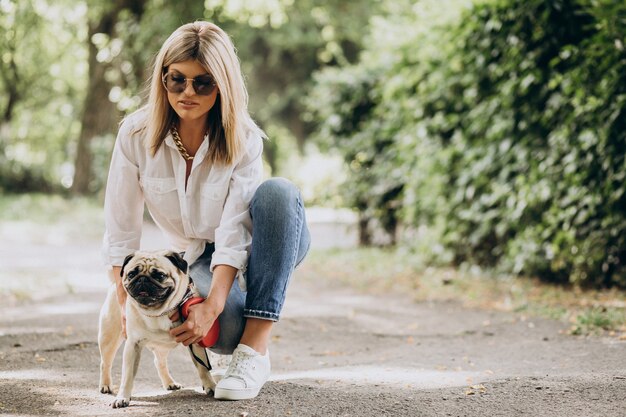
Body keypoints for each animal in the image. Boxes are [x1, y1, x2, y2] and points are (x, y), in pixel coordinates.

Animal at [96, 250, 216, 406]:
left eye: (160, 275)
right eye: (131, 274)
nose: (142, 279)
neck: (158, 312)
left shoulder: (195, 341)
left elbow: (203, 368)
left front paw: (211, 386)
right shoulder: (133, 345)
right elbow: (127, 375)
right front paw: (122, 397)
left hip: (162, 347)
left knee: (159, 363)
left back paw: (170, 382)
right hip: (109, 339)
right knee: (105, 363)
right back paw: (105, 385)